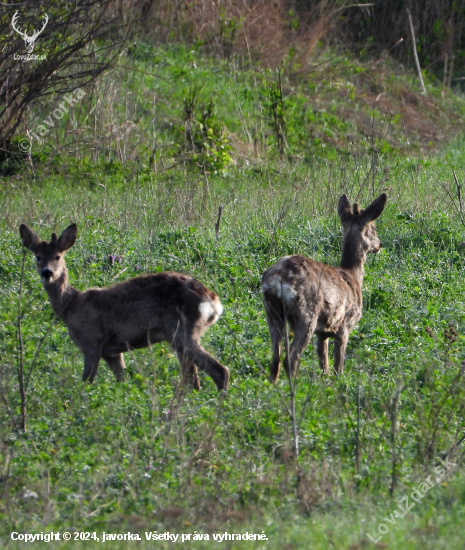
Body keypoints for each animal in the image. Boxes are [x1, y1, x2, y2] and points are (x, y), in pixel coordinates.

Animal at [260, 194, 384, 384]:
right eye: (374, 227)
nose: (379, 244)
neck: (353, 275)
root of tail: (276, 279)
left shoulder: (323, 332)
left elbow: (324, 362)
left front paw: (325, 381)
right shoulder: (344, 326)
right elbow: (338, 365)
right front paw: (339, 382)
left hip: (271, 312)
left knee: (275, 356)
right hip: (307, 314)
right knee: (291, 357)